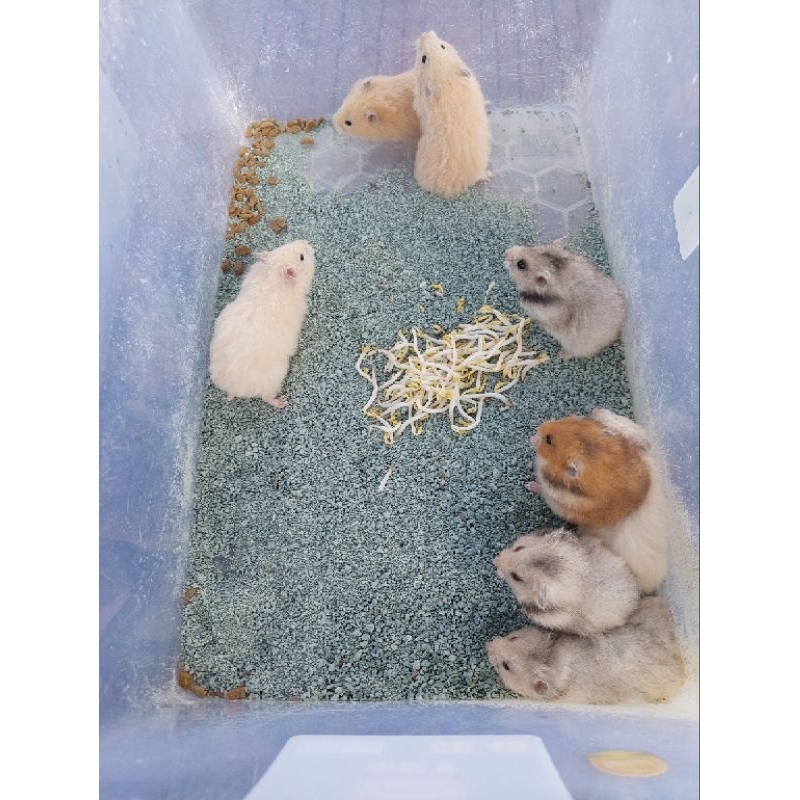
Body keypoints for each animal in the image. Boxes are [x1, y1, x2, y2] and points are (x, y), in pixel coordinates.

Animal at [209, 239, 315, 408]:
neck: (272, 278)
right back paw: (282, 402)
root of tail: (233, 388)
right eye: (302, 257)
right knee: (266, 397)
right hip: (275, 377)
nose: (306, 241)